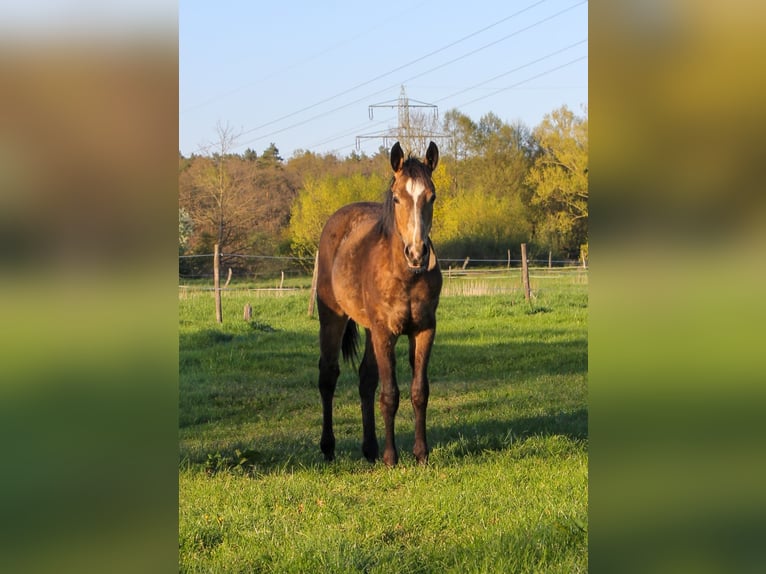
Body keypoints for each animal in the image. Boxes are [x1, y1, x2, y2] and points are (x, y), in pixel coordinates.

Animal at [316, 141, 442, 466]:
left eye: (431, 196)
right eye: (397, 198)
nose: (417, 253)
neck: (405, 274)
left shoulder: (424, 330)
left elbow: (419, 391)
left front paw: (421, 454)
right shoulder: (386, 331)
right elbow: (390, 394)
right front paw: (391, 457)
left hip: (370, 328)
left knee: (365, 378)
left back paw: (369, 449)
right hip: (332, 318)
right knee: (328, 374)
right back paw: (328, 448)